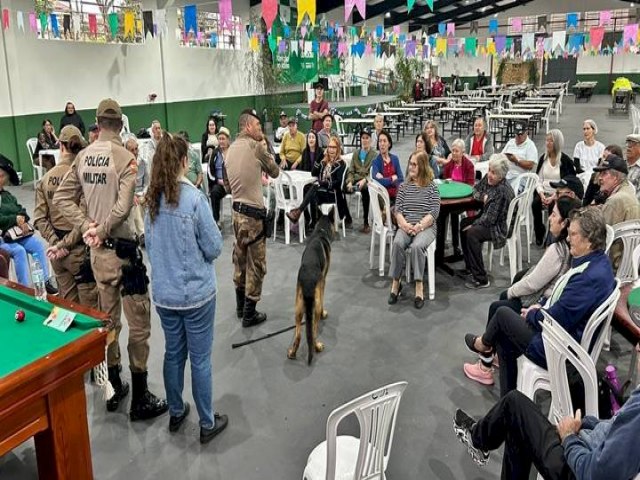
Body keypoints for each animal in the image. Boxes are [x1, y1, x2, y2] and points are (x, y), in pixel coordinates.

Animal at [286, 209, 336, 364]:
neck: (320, 231)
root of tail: (308, 280)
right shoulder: (324, 281)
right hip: (315, 307)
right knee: (313, 332)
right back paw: (317, 346)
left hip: (298, 308)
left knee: (299, 335)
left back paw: (292, 353)